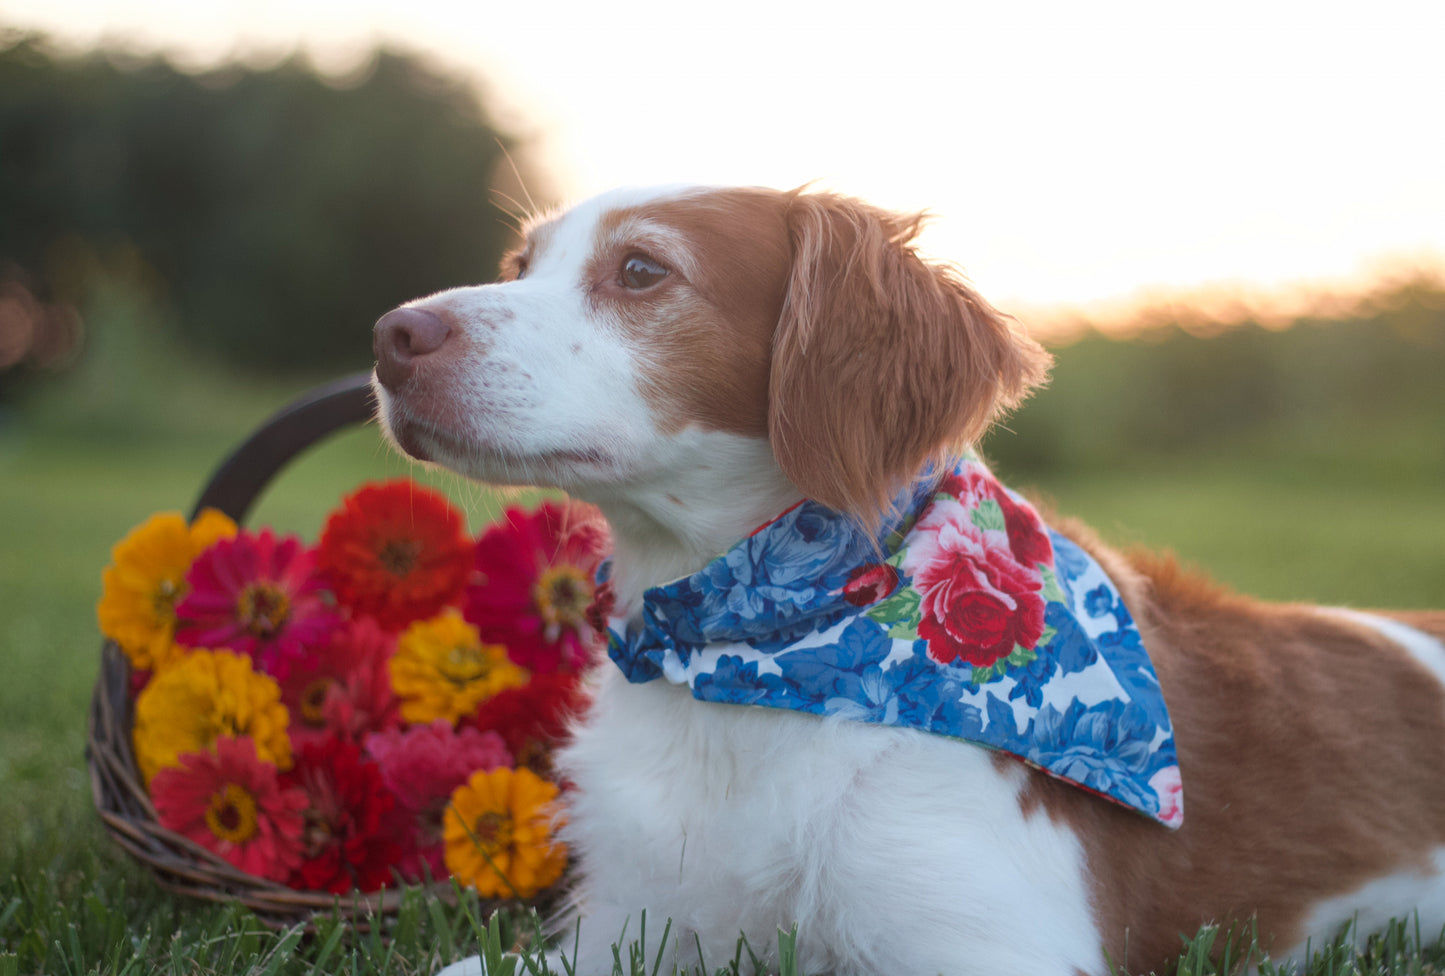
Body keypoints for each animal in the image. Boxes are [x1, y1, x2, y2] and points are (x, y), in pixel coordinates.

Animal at [372, 185, 1445, 976]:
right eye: (521, 267)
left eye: (641, 270)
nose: (391, 335)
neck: (745, 652)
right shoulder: (628, 929)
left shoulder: (995, 947)